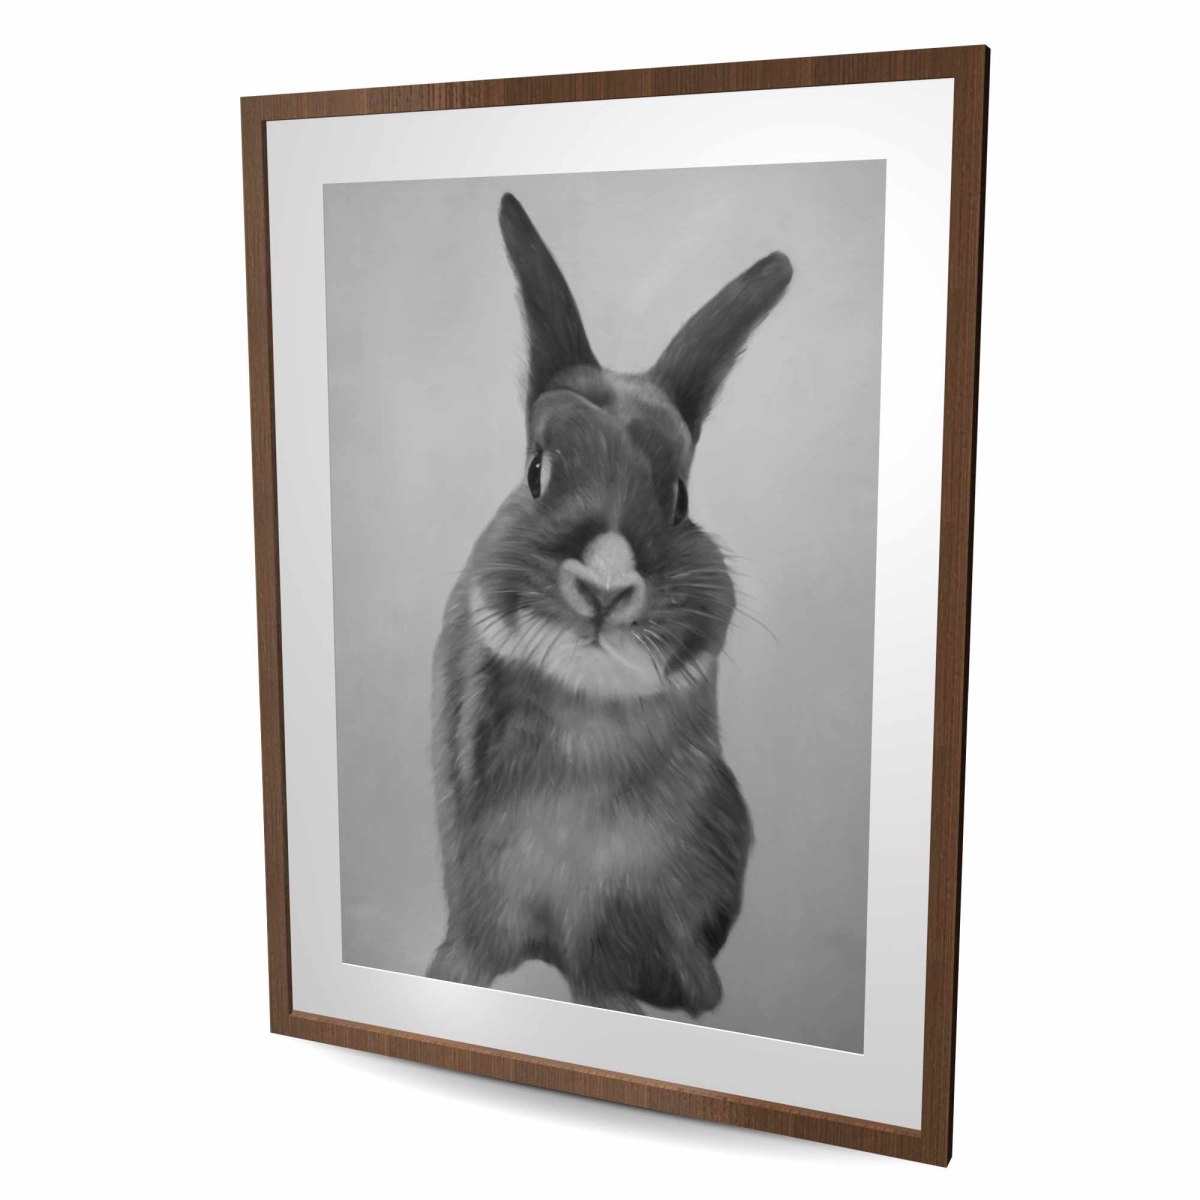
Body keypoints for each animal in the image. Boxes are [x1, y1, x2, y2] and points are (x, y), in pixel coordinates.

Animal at [427, 193, 792, 1016]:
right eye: (537, 471)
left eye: (680, 498)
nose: (605, 588)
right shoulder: (480, 888)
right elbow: (476, 949)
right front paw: (448, 979)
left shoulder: (630, 910)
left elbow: (610, 971)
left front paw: (647, 1004)